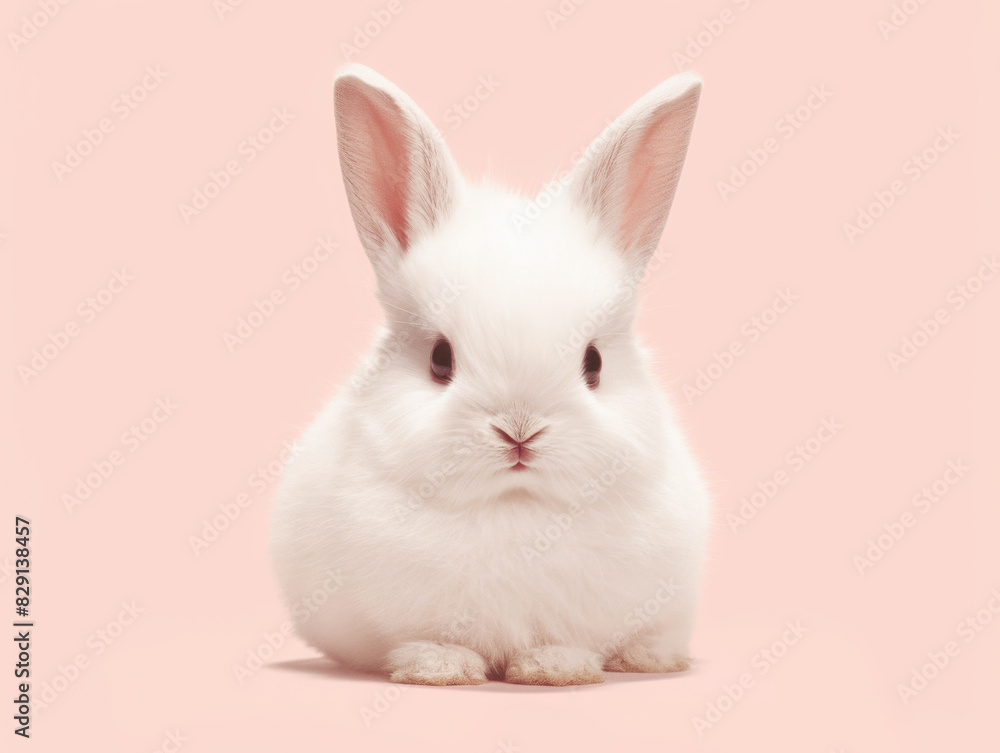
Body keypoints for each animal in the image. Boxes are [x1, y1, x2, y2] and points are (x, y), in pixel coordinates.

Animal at [269, 63, 710, 686]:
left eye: (593, 363)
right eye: (440, 359)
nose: (519, 431)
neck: (514, 507)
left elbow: (562, 642)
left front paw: (555, 668)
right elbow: (429, 640)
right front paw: (439, 668)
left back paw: (650, 658)